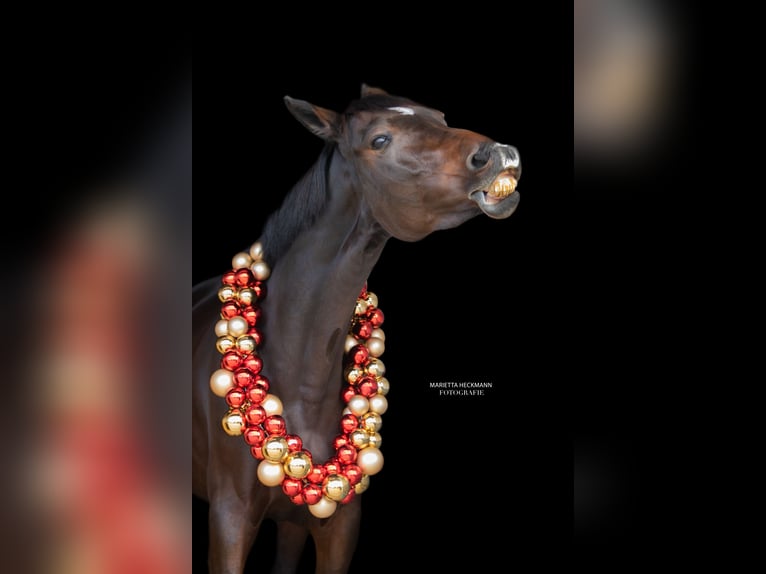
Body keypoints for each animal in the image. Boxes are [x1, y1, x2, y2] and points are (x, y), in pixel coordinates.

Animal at [192, 84, 521, 574]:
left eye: (440, 116)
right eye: (379, 140)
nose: (498, 155)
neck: (298, 378)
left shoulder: (336, 525)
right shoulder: (229, 519)